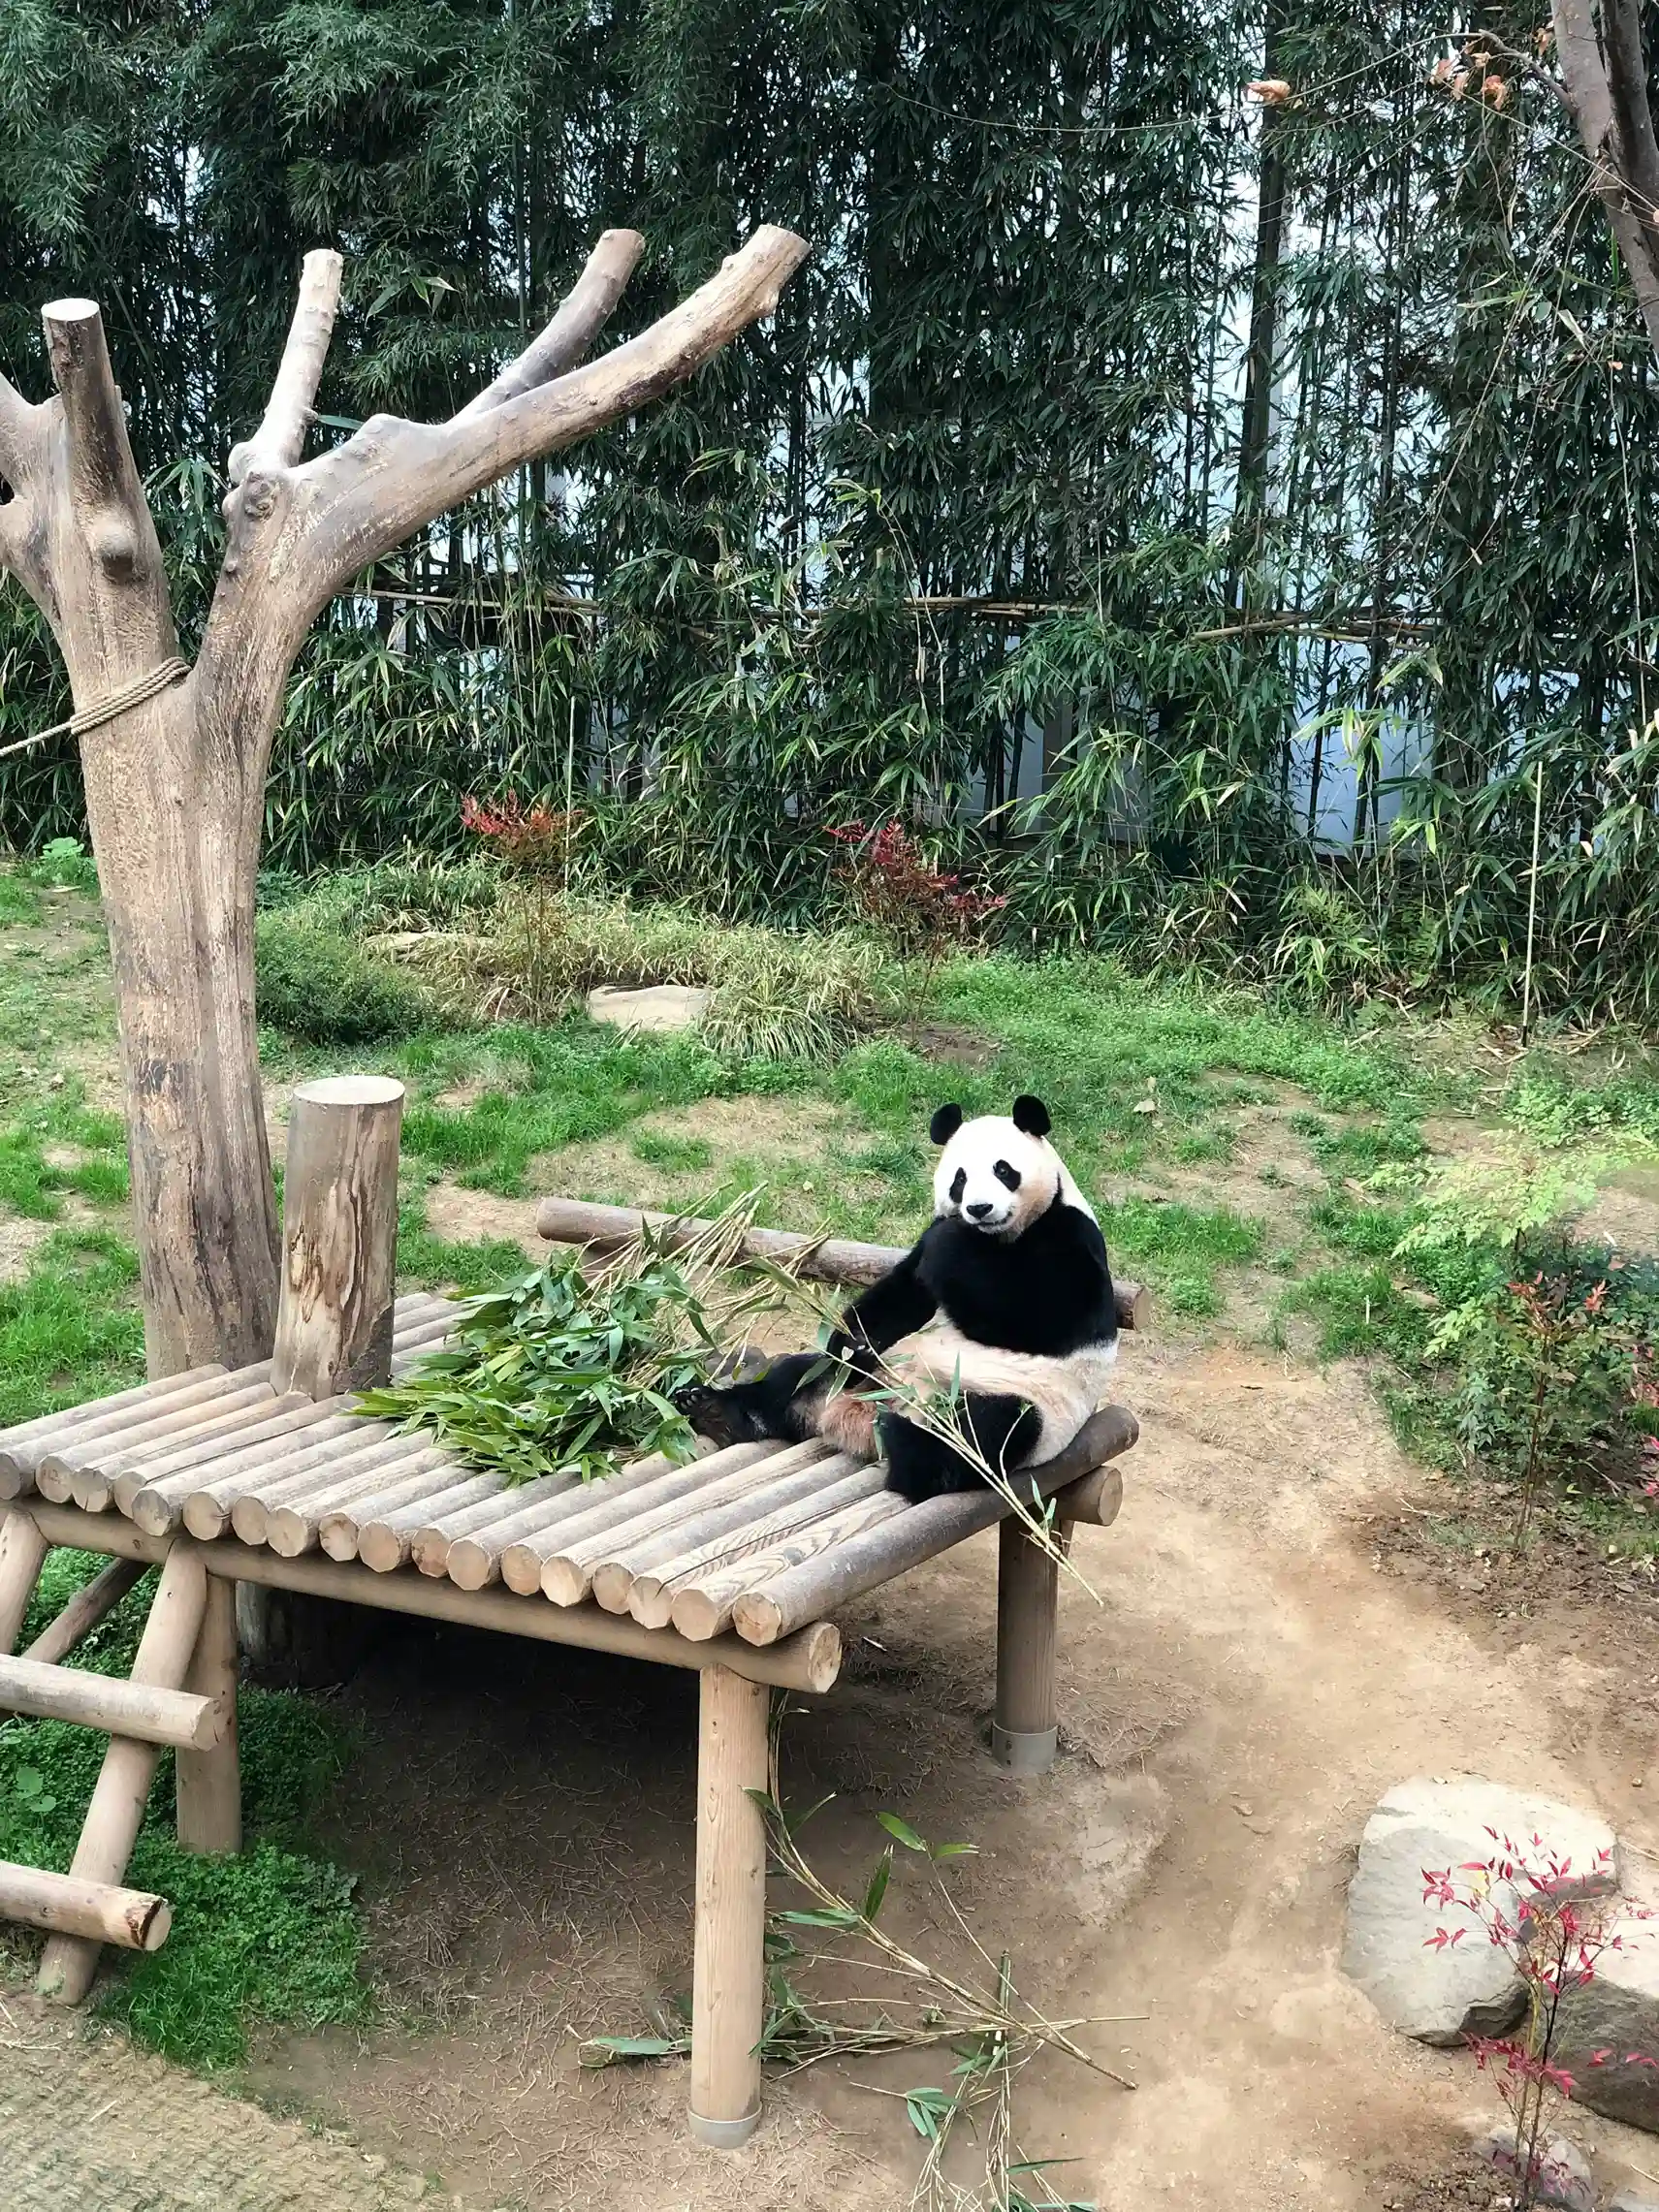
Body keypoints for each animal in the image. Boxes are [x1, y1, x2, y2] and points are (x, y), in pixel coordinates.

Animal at [677, 1094, 1118, 1502]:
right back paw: (714, 1410)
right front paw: (853, 1341)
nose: (979, 1208)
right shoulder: (922, 1258)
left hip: (1026, 1406)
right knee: (799, 1376)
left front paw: (953, 1244)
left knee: (983, 1435)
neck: (994, 1237)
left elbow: (1038, 1316)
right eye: (960, 1179)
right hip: (862, 1373)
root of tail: (861, 1412)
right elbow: (902, 1296)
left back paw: (901, 1440)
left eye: (1003, 1169)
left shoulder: (1068, 1237)